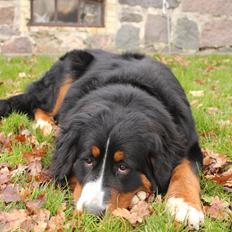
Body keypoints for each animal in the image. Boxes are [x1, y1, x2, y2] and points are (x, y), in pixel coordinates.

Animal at [0, 49, 203, 228]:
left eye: (123, 167)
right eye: (88, 160)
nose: (92, 214)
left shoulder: (188, 141)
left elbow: (186, 171)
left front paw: (184, 206)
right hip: (68, 69)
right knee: (39, 105)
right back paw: (46, 126)